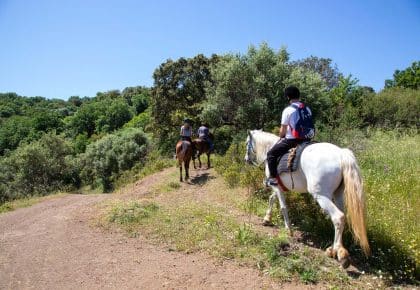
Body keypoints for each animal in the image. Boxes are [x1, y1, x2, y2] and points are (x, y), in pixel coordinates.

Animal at [244, 130, 370, 266]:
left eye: (247, 143)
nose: (246, 159)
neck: (269, 146)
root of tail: (341, 154)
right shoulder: (279, 187)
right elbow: (272, 199)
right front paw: (267, 219)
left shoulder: (276, 185)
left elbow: (282, 206)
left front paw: (288, 229)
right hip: (338, 194)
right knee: (342, 216)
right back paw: (334, 249)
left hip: (321, 196)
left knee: (338, 217)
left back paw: (339, 252)